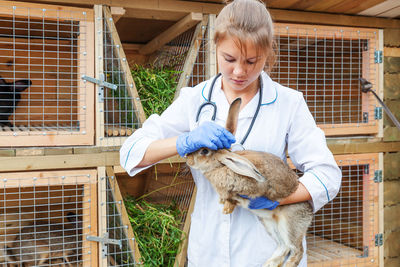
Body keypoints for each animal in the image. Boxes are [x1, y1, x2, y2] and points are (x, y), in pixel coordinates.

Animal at [186, 98, 314, 267]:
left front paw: (226, 209)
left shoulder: (250, 187)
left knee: (297, 250)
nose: (188, 159)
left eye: (204, 151)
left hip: (290, 224)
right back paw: (268, 264)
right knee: (284, 246)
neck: (222, 165)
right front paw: (224, 205)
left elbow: (236, 196)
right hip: (270, 224)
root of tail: (310, 212)